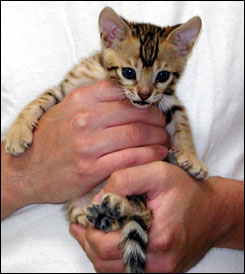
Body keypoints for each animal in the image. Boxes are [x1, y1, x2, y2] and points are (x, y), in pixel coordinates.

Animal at [4, 7, 207, 272]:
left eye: (162, 76)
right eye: (128, 72)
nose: (144, 95)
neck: (107, 78)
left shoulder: (168, 99)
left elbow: (183, 123)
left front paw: (193, 159)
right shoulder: (65, 89)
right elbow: (39, 100)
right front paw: (16, 133)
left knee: (141, 215)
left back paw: (115, 208)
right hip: (78, 207)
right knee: (102, 218)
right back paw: (105, 217)